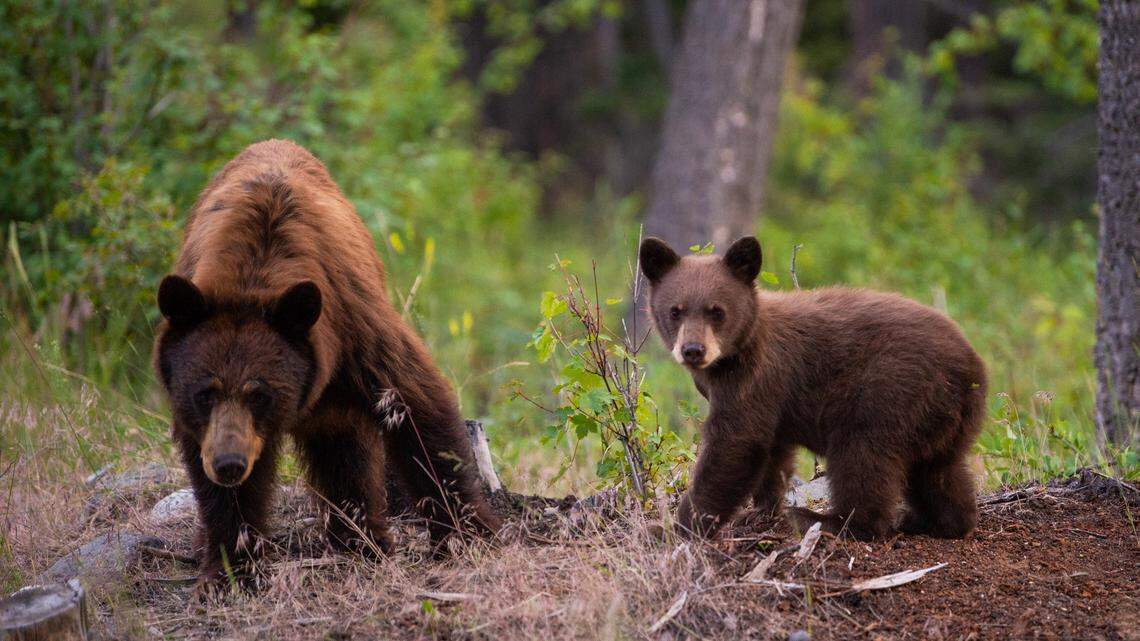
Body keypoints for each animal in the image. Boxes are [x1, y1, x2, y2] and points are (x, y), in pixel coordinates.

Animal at [153, 139, 500, 587]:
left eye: (260, 394)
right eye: (204, 393)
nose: (229, 464)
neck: (253, 276)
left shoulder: (354, 328)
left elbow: (416, 408)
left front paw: (467, 534)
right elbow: (220, 492)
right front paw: (232, 569)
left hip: (337, 397)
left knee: (345, 454)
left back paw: (361, 540)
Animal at [639, 235, 987, 540]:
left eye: (717, 311)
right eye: (675, 310)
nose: (693, 350)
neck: (736, 352)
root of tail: (970, 369)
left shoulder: (756, 378)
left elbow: (735, 445)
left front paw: (675, 528)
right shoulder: (771, 401)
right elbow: (772, 454)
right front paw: (762, 511)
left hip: (889, 393)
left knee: (863, 457)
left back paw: (830, 521)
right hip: (942, 419)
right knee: (939, 471)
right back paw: (936, 521)